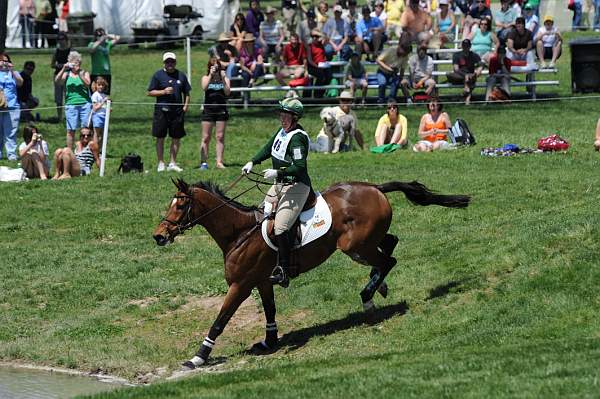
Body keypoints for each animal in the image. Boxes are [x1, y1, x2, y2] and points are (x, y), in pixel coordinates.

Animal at [151, 177, 468, 370]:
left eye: (181, 205)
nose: (158, 236)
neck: (239, 233)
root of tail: (374, 187)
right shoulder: (262, 282)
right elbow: (270, 310)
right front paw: (269, 342)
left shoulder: (240, 286)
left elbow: (220, 320)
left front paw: (198, 357)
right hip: (364, 243)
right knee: (390, 245)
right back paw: (380, 287)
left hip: (355, 246)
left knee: (389, 259)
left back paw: (368, 297)